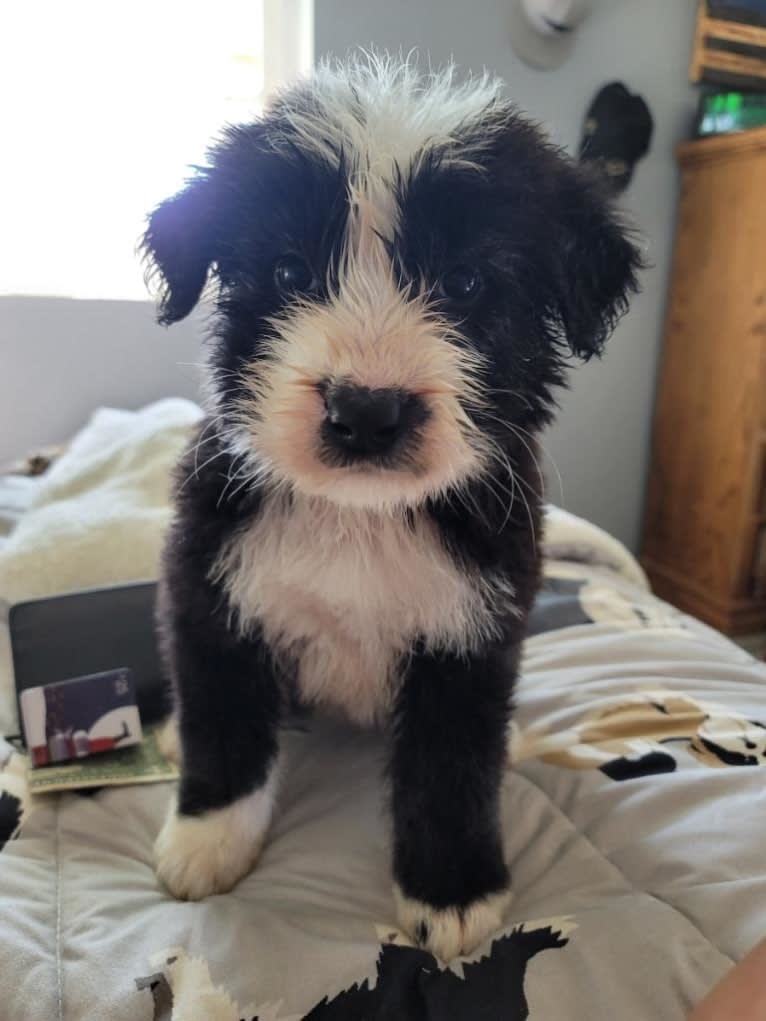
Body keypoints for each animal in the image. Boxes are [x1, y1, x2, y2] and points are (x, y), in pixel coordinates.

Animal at [144, 59, 641, 959]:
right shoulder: (209, 583)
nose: (367, 410)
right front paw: (207, 838)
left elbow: (451, 763)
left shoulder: (476, 630)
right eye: (289, 273)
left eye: (469, 282)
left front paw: (451, 889)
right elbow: (225, 718)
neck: (361, 517)